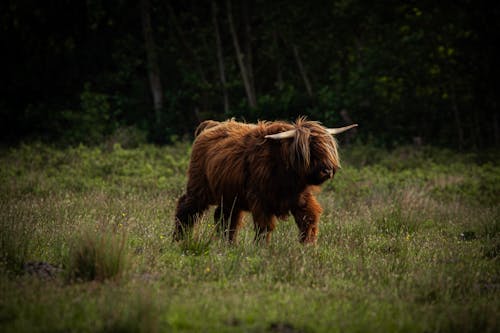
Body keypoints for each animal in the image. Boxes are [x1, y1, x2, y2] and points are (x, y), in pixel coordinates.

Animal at [174, 118, 358, 243]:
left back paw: (228, 244)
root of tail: (211, 125)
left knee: (226, 218)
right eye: (311, 149)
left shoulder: (301, 198)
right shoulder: (261, 200)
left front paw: (308, 246)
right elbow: (264, 227)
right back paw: (178, 239)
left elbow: (309, 220)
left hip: (230, 196)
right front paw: (262, 248)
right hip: (199, 186)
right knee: (186, 208)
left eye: (327, 147)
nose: (328, 169)